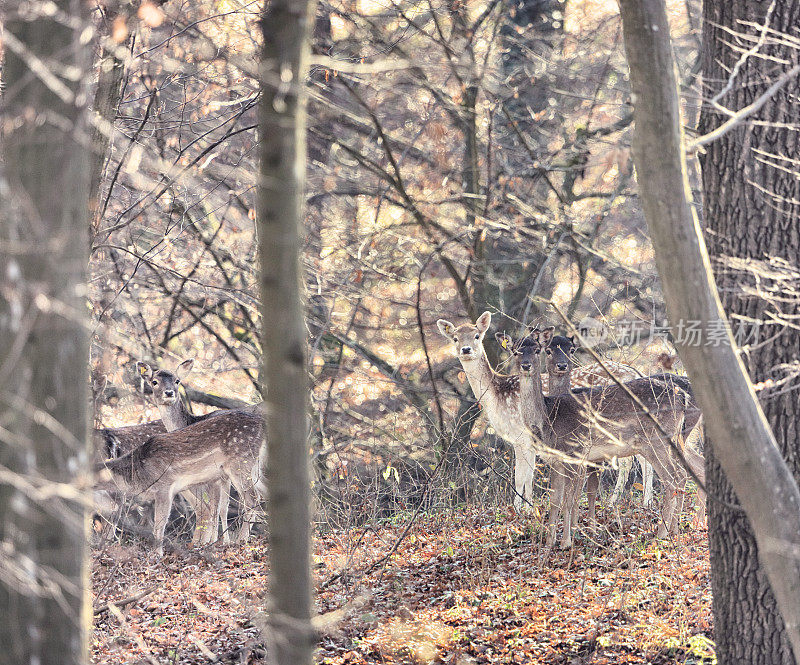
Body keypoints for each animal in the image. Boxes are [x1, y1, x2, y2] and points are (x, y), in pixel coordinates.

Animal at [96, 410, 266, 556]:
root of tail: (261, 423)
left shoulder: (164, 486)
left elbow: (160, 523)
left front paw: (157, 553)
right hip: (253, 468)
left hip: (240, 462)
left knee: (252, 500)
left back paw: (241, 540)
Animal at [438, 314, 552, 510]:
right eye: (455, 338)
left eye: (476, 336)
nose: (466, 349)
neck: (496, 397)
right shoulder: (527, 441)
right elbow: (528, 478)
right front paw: (529, 510)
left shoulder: (521, 435)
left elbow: (520, 478)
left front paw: (518, 511)